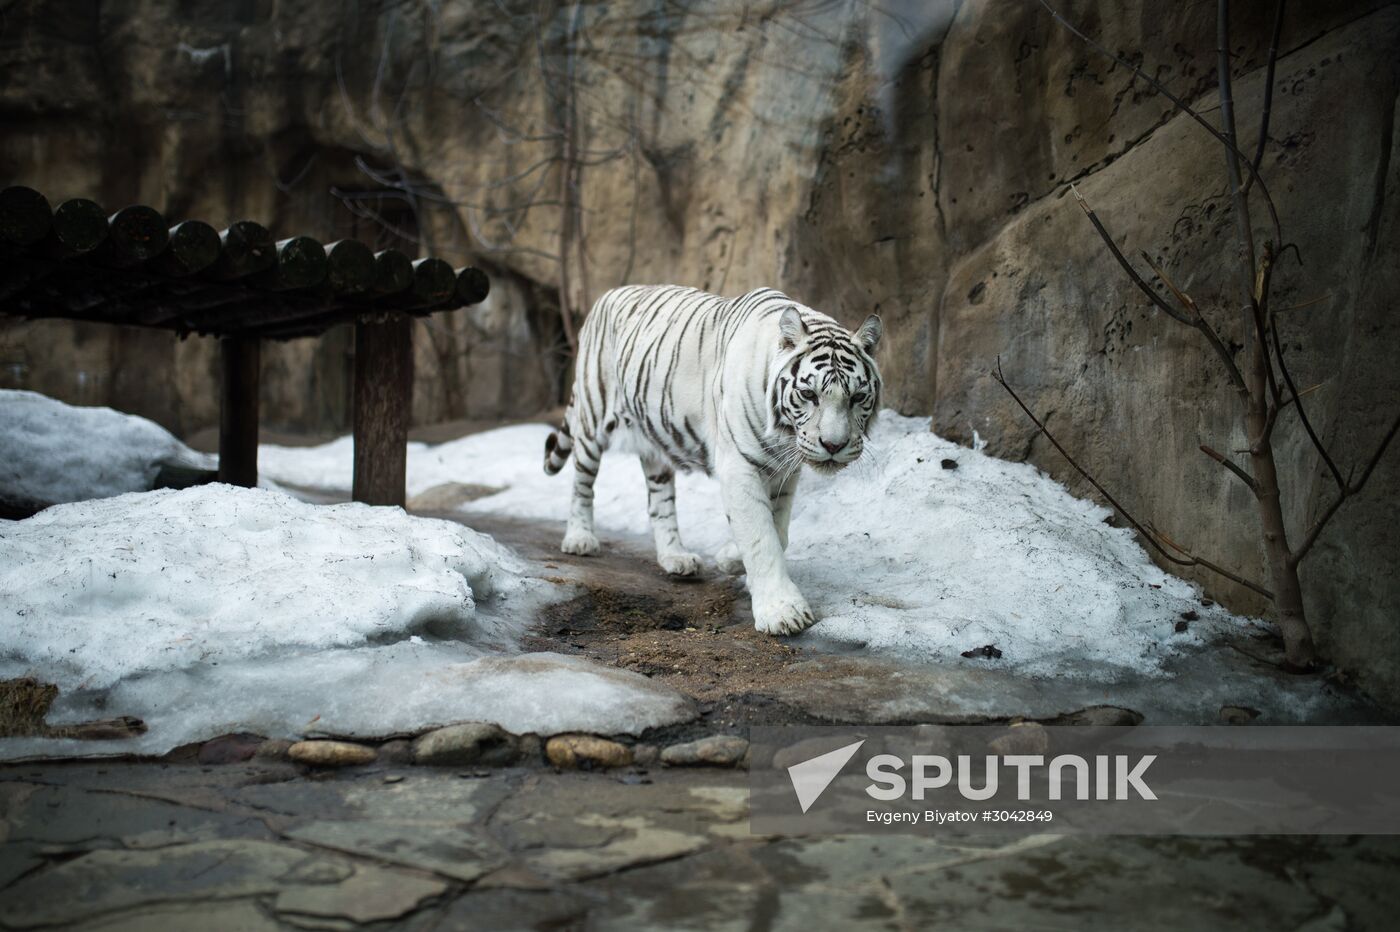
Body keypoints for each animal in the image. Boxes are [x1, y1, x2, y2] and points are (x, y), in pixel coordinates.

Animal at [540, 282, 879, 632]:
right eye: (809, 394)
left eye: (857, 397)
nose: (834, 445)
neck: (784, 435)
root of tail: (608, 294)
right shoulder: (739, 466)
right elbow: (761, 538)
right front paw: (783, 612)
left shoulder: (785, 472)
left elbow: (778, 531)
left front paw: (731, 559)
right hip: (593, 417)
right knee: (582, 482)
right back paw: (579, 538)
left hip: (653, 440)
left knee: (659, 503)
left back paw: (675, 557)